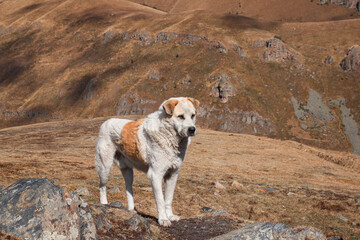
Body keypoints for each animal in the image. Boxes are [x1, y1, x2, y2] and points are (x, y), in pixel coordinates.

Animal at [95, 96, 200, 226]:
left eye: (193, 115)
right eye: (181, 116)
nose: (192, 129)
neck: (168, 135)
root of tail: (106, 122)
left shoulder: (172, 175)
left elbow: (168, 198)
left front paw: (170, 216)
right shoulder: (156, 175)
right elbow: (160, 200)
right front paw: (163, 219)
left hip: (128, 171)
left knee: (128, 189)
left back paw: (132, 210)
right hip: (105, 167)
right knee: (102, 186)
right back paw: (104, 204)